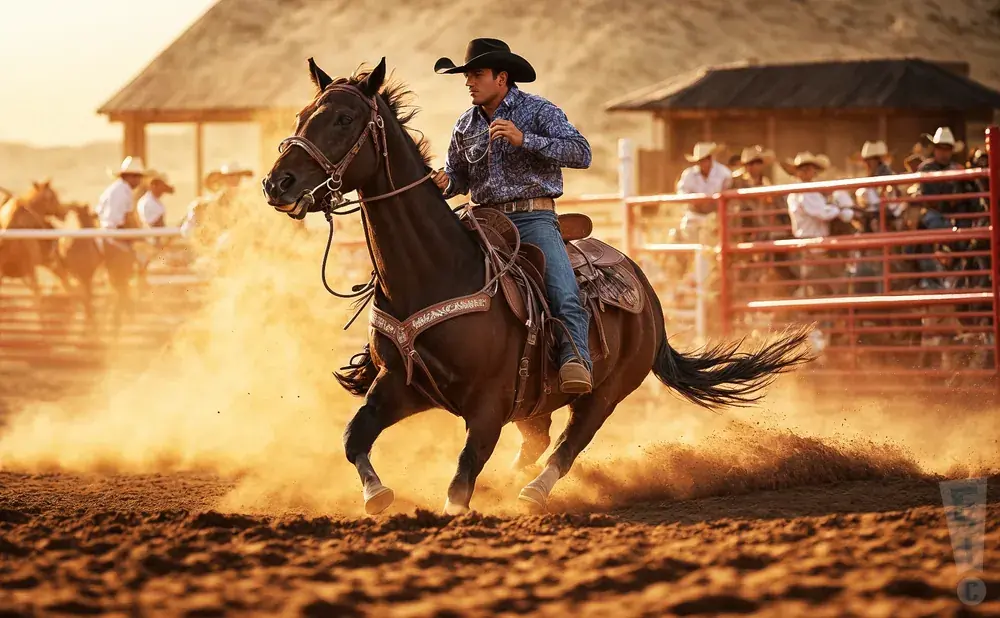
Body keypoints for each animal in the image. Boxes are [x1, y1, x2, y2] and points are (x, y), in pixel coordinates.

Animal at [260, 57, 812, 516]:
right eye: (302, 116)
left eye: (343, 119)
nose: (277, 184)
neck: (435, 272)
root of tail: (646, 290)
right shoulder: (398, 384)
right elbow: (354, 438)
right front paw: (377, 495)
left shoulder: (488, 405)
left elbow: (462, 478)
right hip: (536, 398)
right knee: (538, 438)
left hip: (607, 392)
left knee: (569, 444)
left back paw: (532, 492)